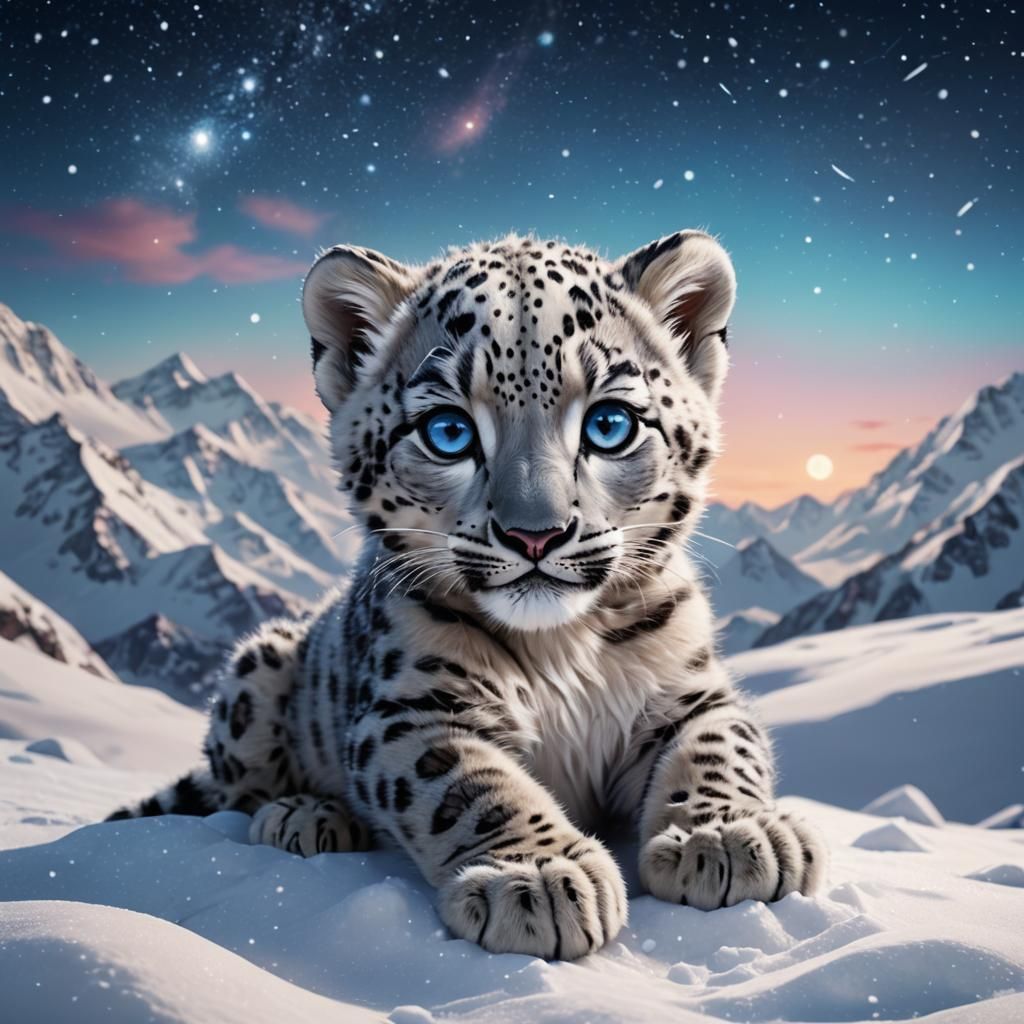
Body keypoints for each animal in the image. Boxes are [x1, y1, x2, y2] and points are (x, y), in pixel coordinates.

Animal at [107, 229, 828, 960]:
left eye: (610, 423)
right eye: (448, 432)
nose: (535, 534)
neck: (564, 647)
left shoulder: (691, 688)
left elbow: (721, 746)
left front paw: (730, 836)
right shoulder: (411, 708)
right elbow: (468, 783)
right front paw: (537, 877)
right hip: (257, 672)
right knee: (240, 791)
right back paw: (305, 815)